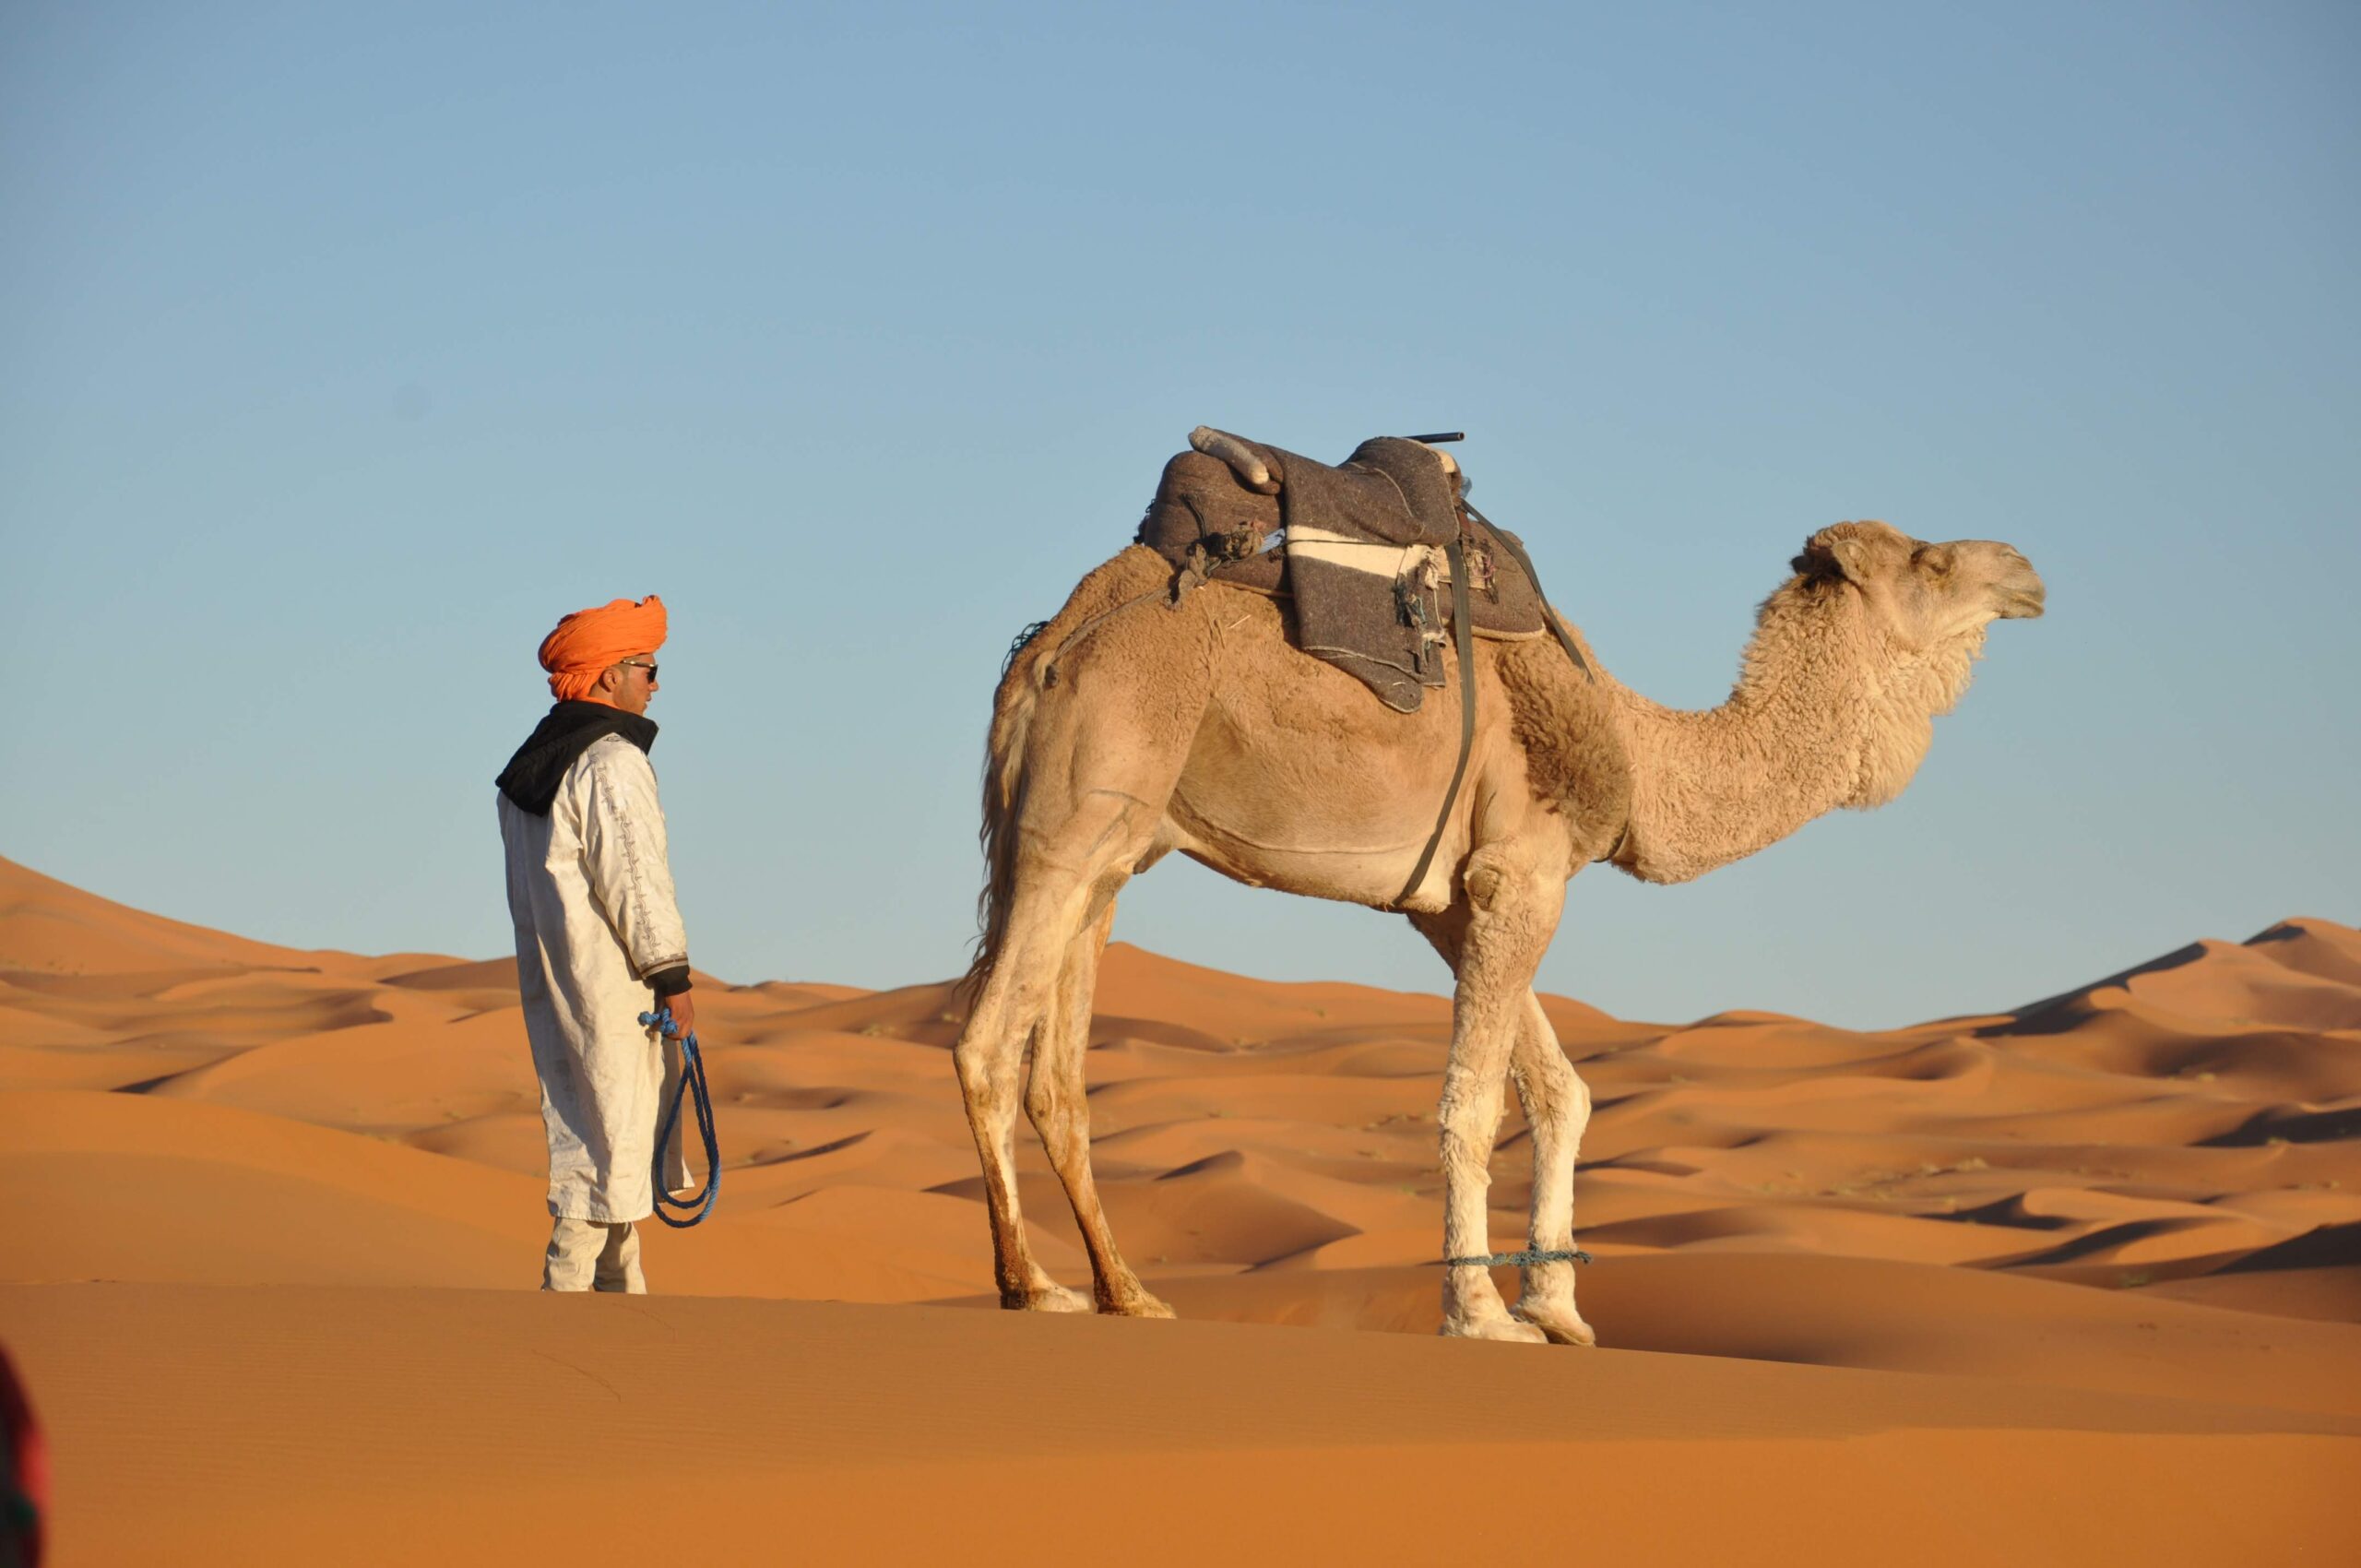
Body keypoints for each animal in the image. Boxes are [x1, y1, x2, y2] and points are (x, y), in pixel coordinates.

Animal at [949, 507, 2039, 1341]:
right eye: (1932, 561)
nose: (2026, 572)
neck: (1635, 747)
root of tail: (1044, 649)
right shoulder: (1522, 873)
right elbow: (1472, 1102)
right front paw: (1480, 1313)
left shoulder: (1452, 900)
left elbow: (1562, 1092)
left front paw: (1558, 1308)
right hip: (1081, 812)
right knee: (987, 1042)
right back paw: (1030, 1285)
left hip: (1108, 850)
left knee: (1058, 1073)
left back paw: (1126, 1292)